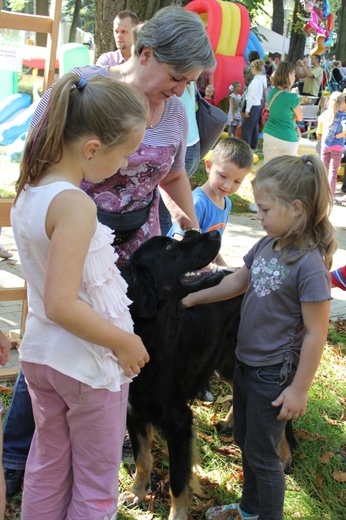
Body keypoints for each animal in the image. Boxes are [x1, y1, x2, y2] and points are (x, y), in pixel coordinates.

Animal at [120, 233, 294, 520]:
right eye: (170, 247)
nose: (215, 233)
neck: (149, 337)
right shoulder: (133, 413)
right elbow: (142, 459)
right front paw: (137, 492)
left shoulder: (178, 422)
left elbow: (178, 482)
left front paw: (177, 515)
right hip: (228, 364)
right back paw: (229, 422)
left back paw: (284, 454)